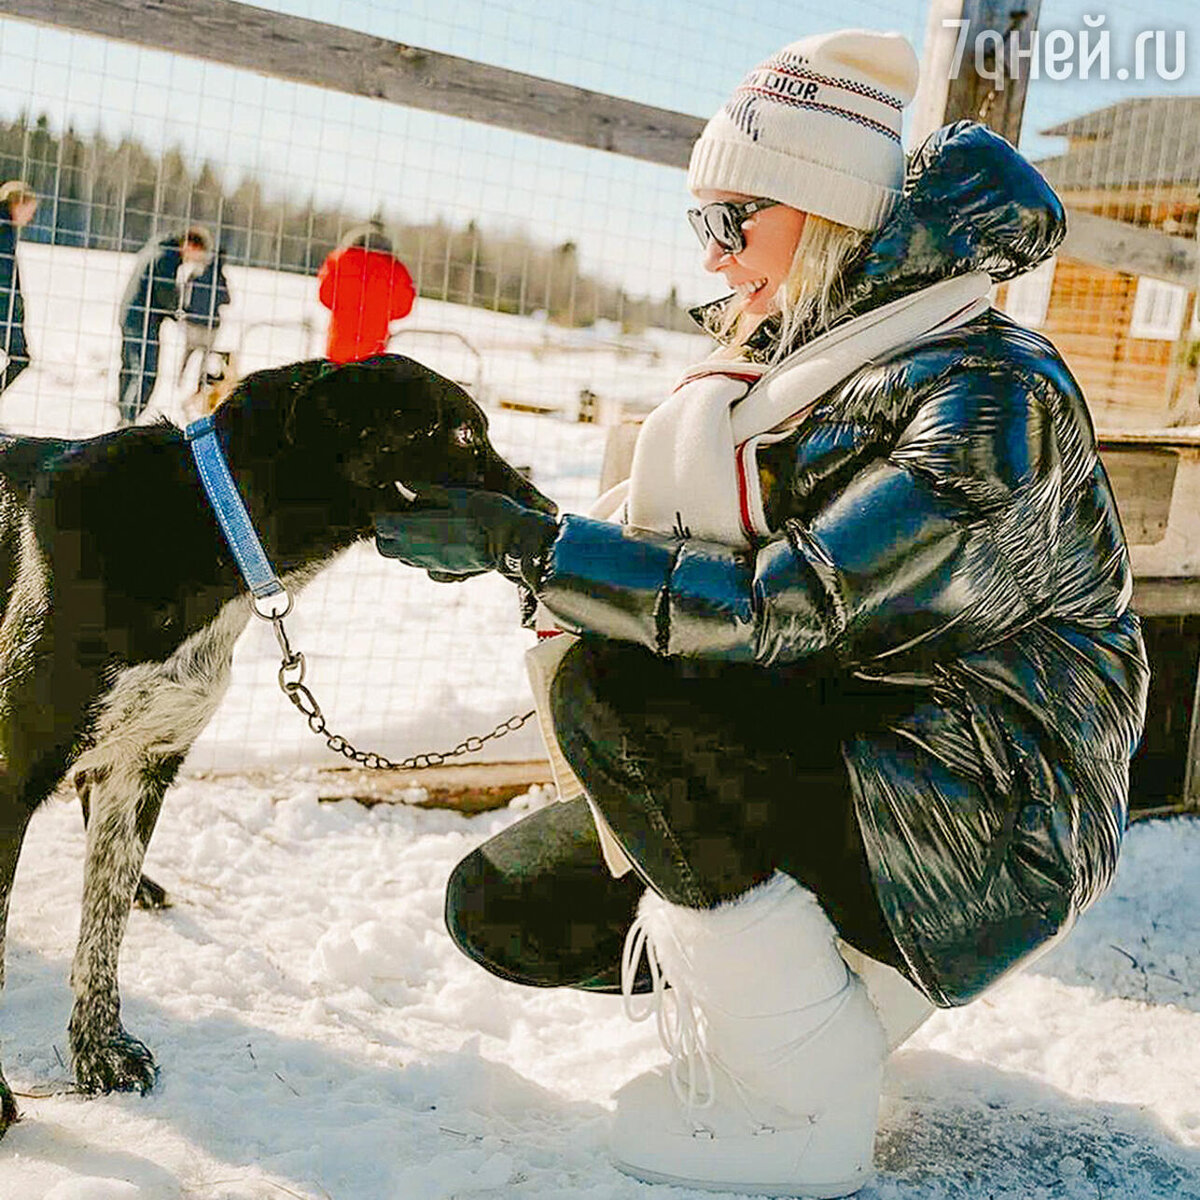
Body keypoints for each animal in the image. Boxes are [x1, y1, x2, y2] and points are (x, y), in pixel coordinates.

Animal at [0, 350, 552, 1132]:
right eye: (466, 434)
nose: (552, 515)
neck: (207, 524)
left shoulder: (144, 767)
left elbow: (103, 927)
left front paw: (100, 1053)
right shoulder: (9, 769)